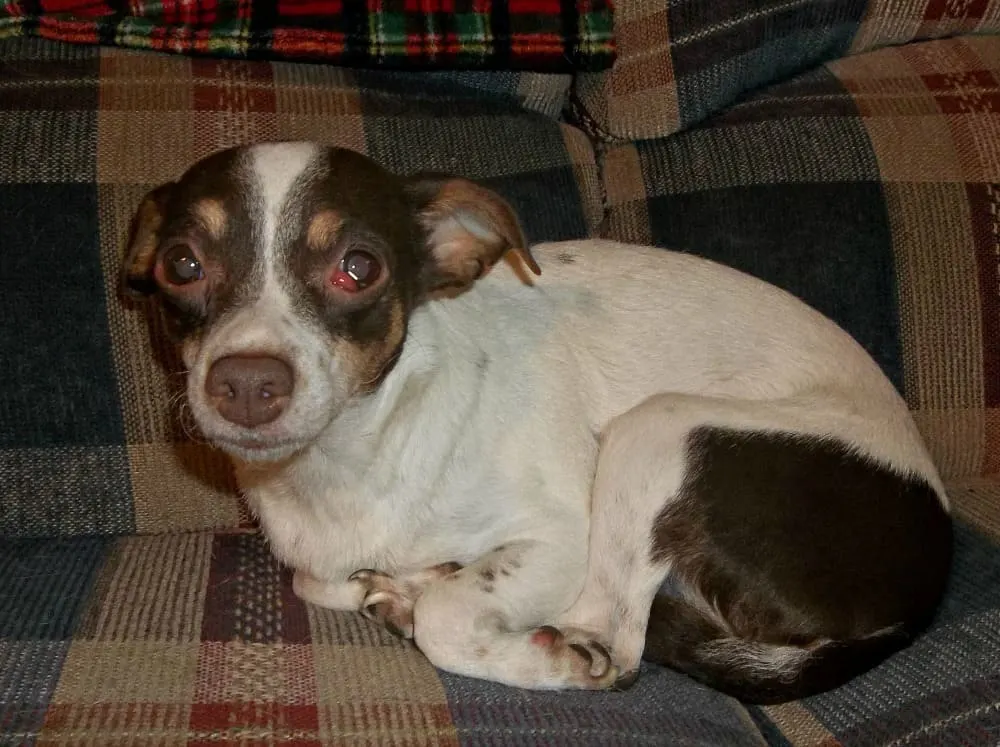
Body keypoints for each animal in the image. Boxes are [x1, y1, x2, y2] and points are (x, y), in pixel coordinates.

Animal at [123, 142, 952, 708]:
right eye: (181, 265)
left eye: (359, 267)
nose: (246, 383)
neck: (350, 460)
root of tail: (927, 584)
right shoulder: (319, 558)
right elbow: (319, 580)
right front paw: (401, 582)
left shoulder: (559, 537)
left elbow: (454, 617)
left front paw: (514, 640)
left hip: (659, 427)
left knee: (620, 634)